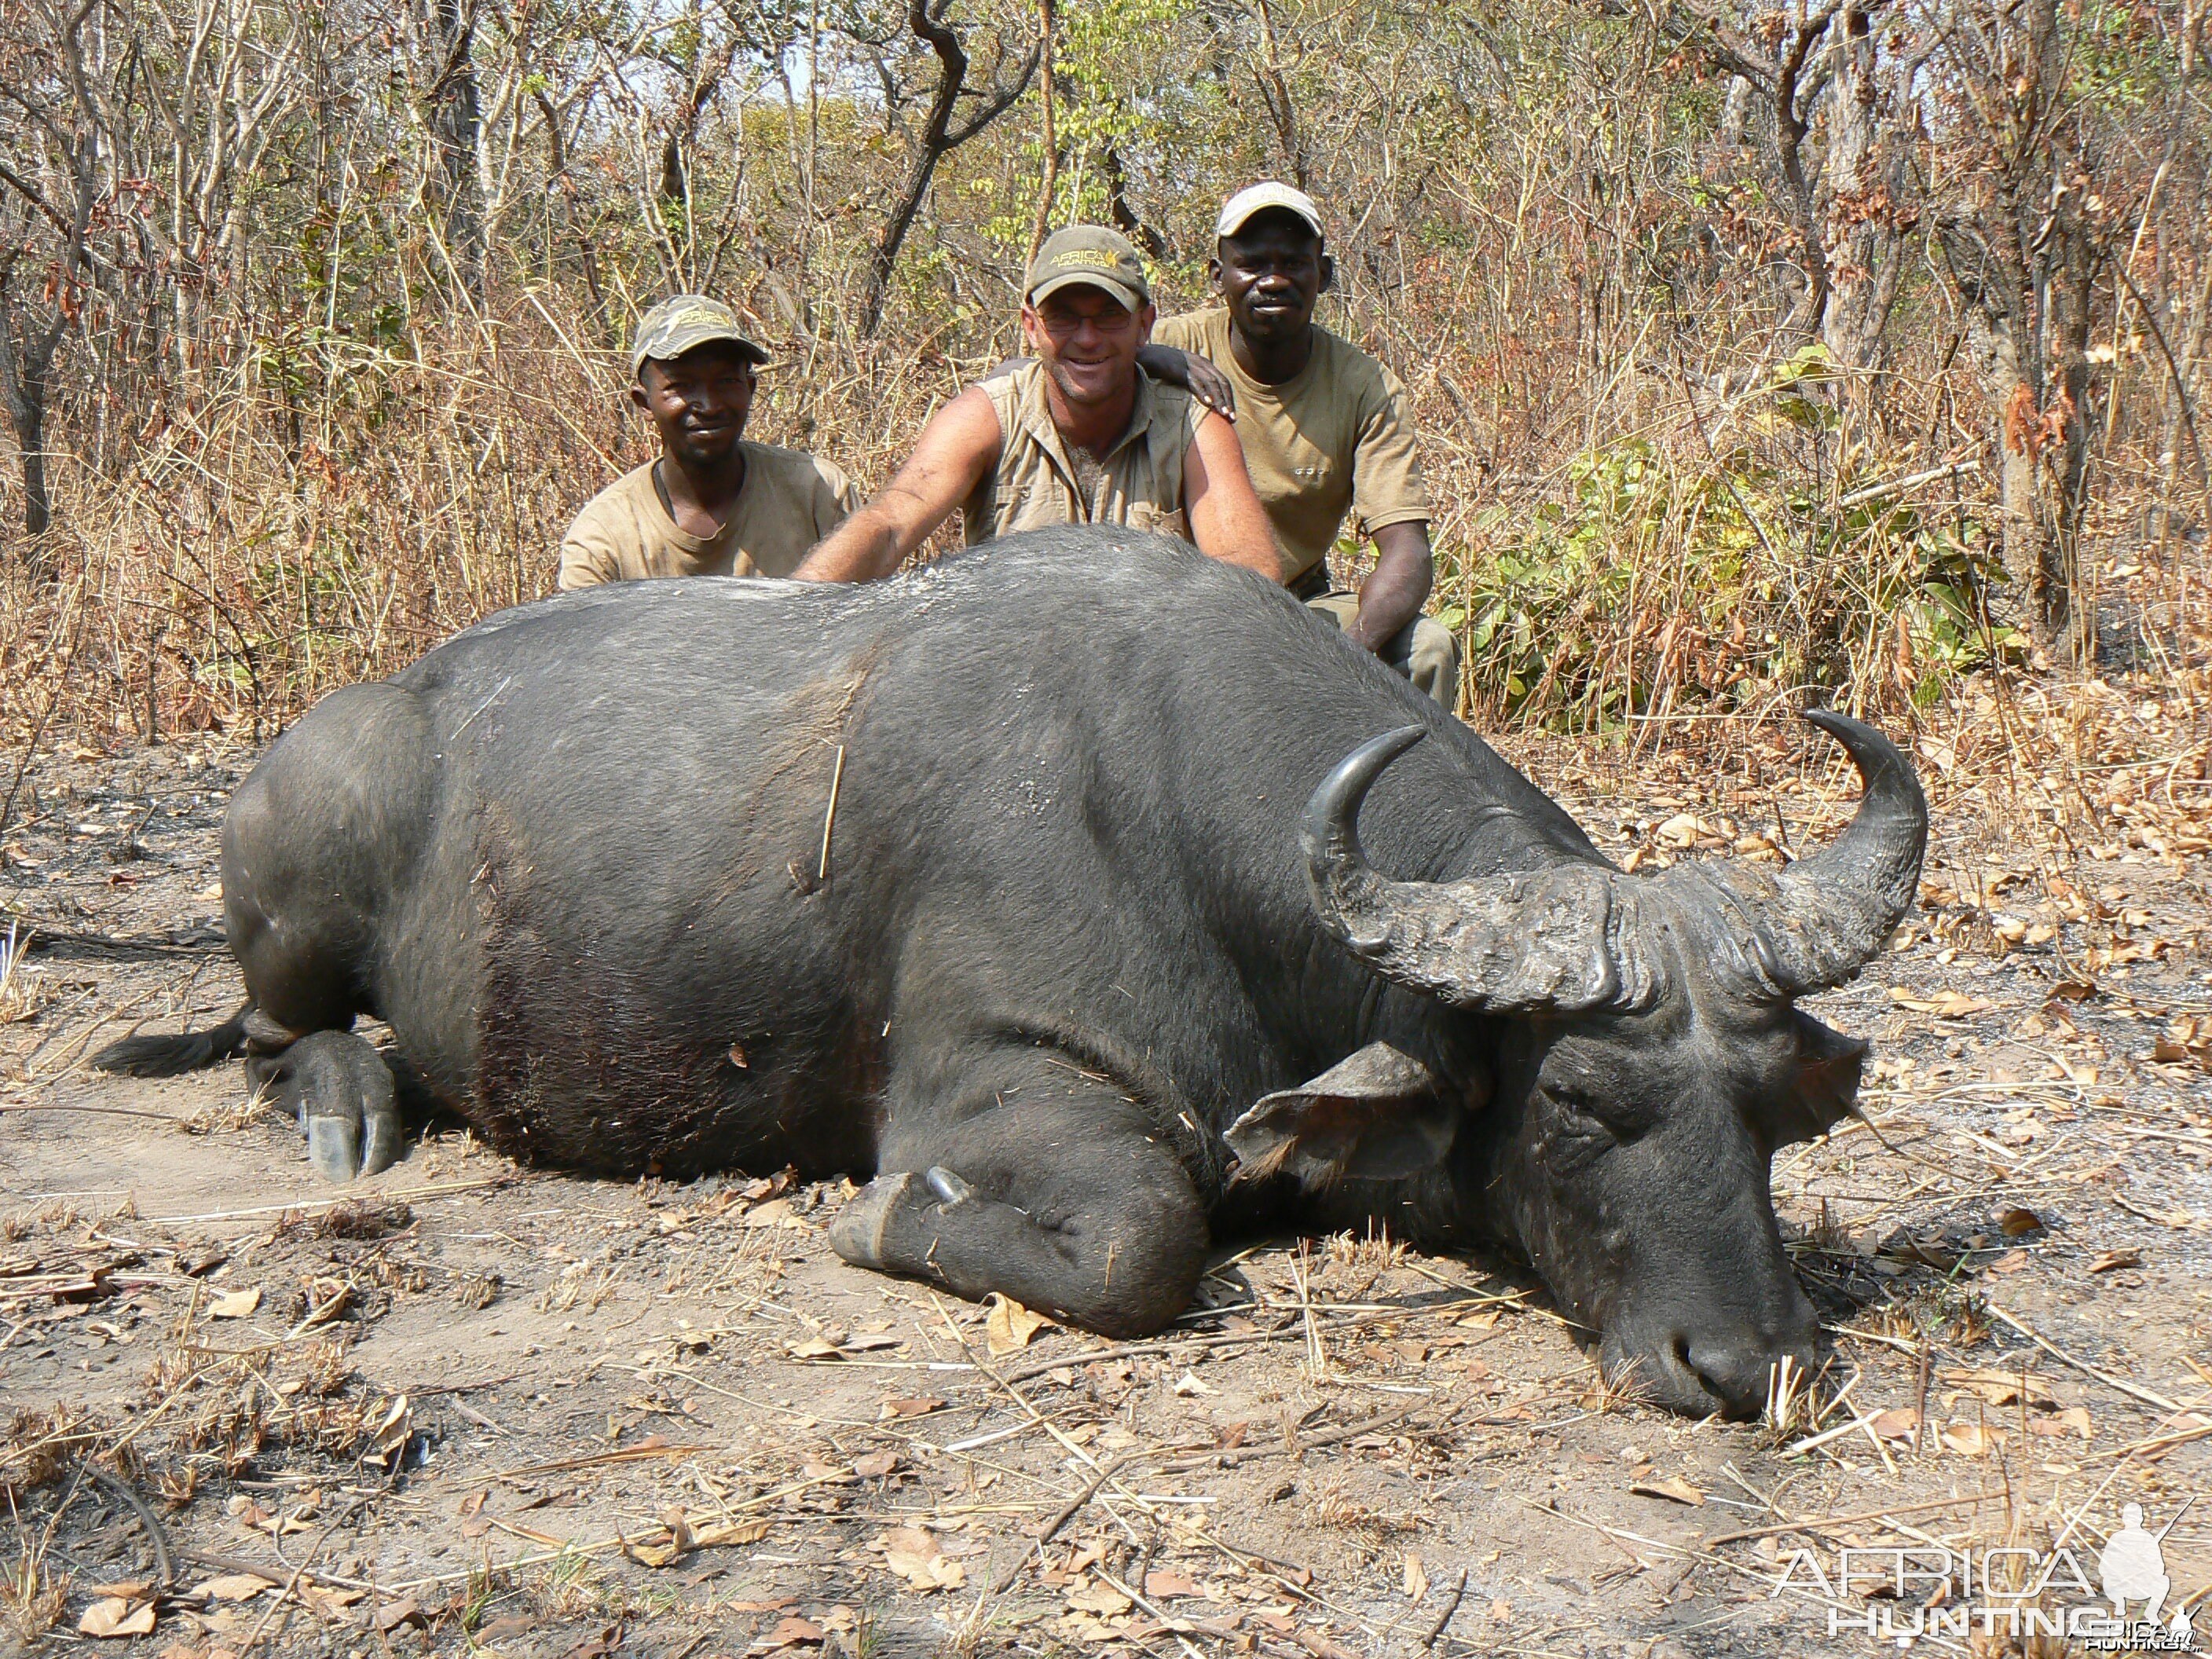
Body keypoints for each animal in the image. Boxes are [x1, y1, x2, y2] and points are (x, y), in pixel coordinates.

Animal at [99, 533, 1920, 1415]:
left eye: (1770, 1113)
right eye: (1583, 1105)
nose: (1752, 1365)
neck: (1167, 797)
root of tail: (374, 711)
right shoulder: (1000, 1092)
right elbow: (1137, 1242)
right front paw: (879, 1224)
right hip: (299, 889)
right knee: (272, 1026)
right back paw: (349, 1102)